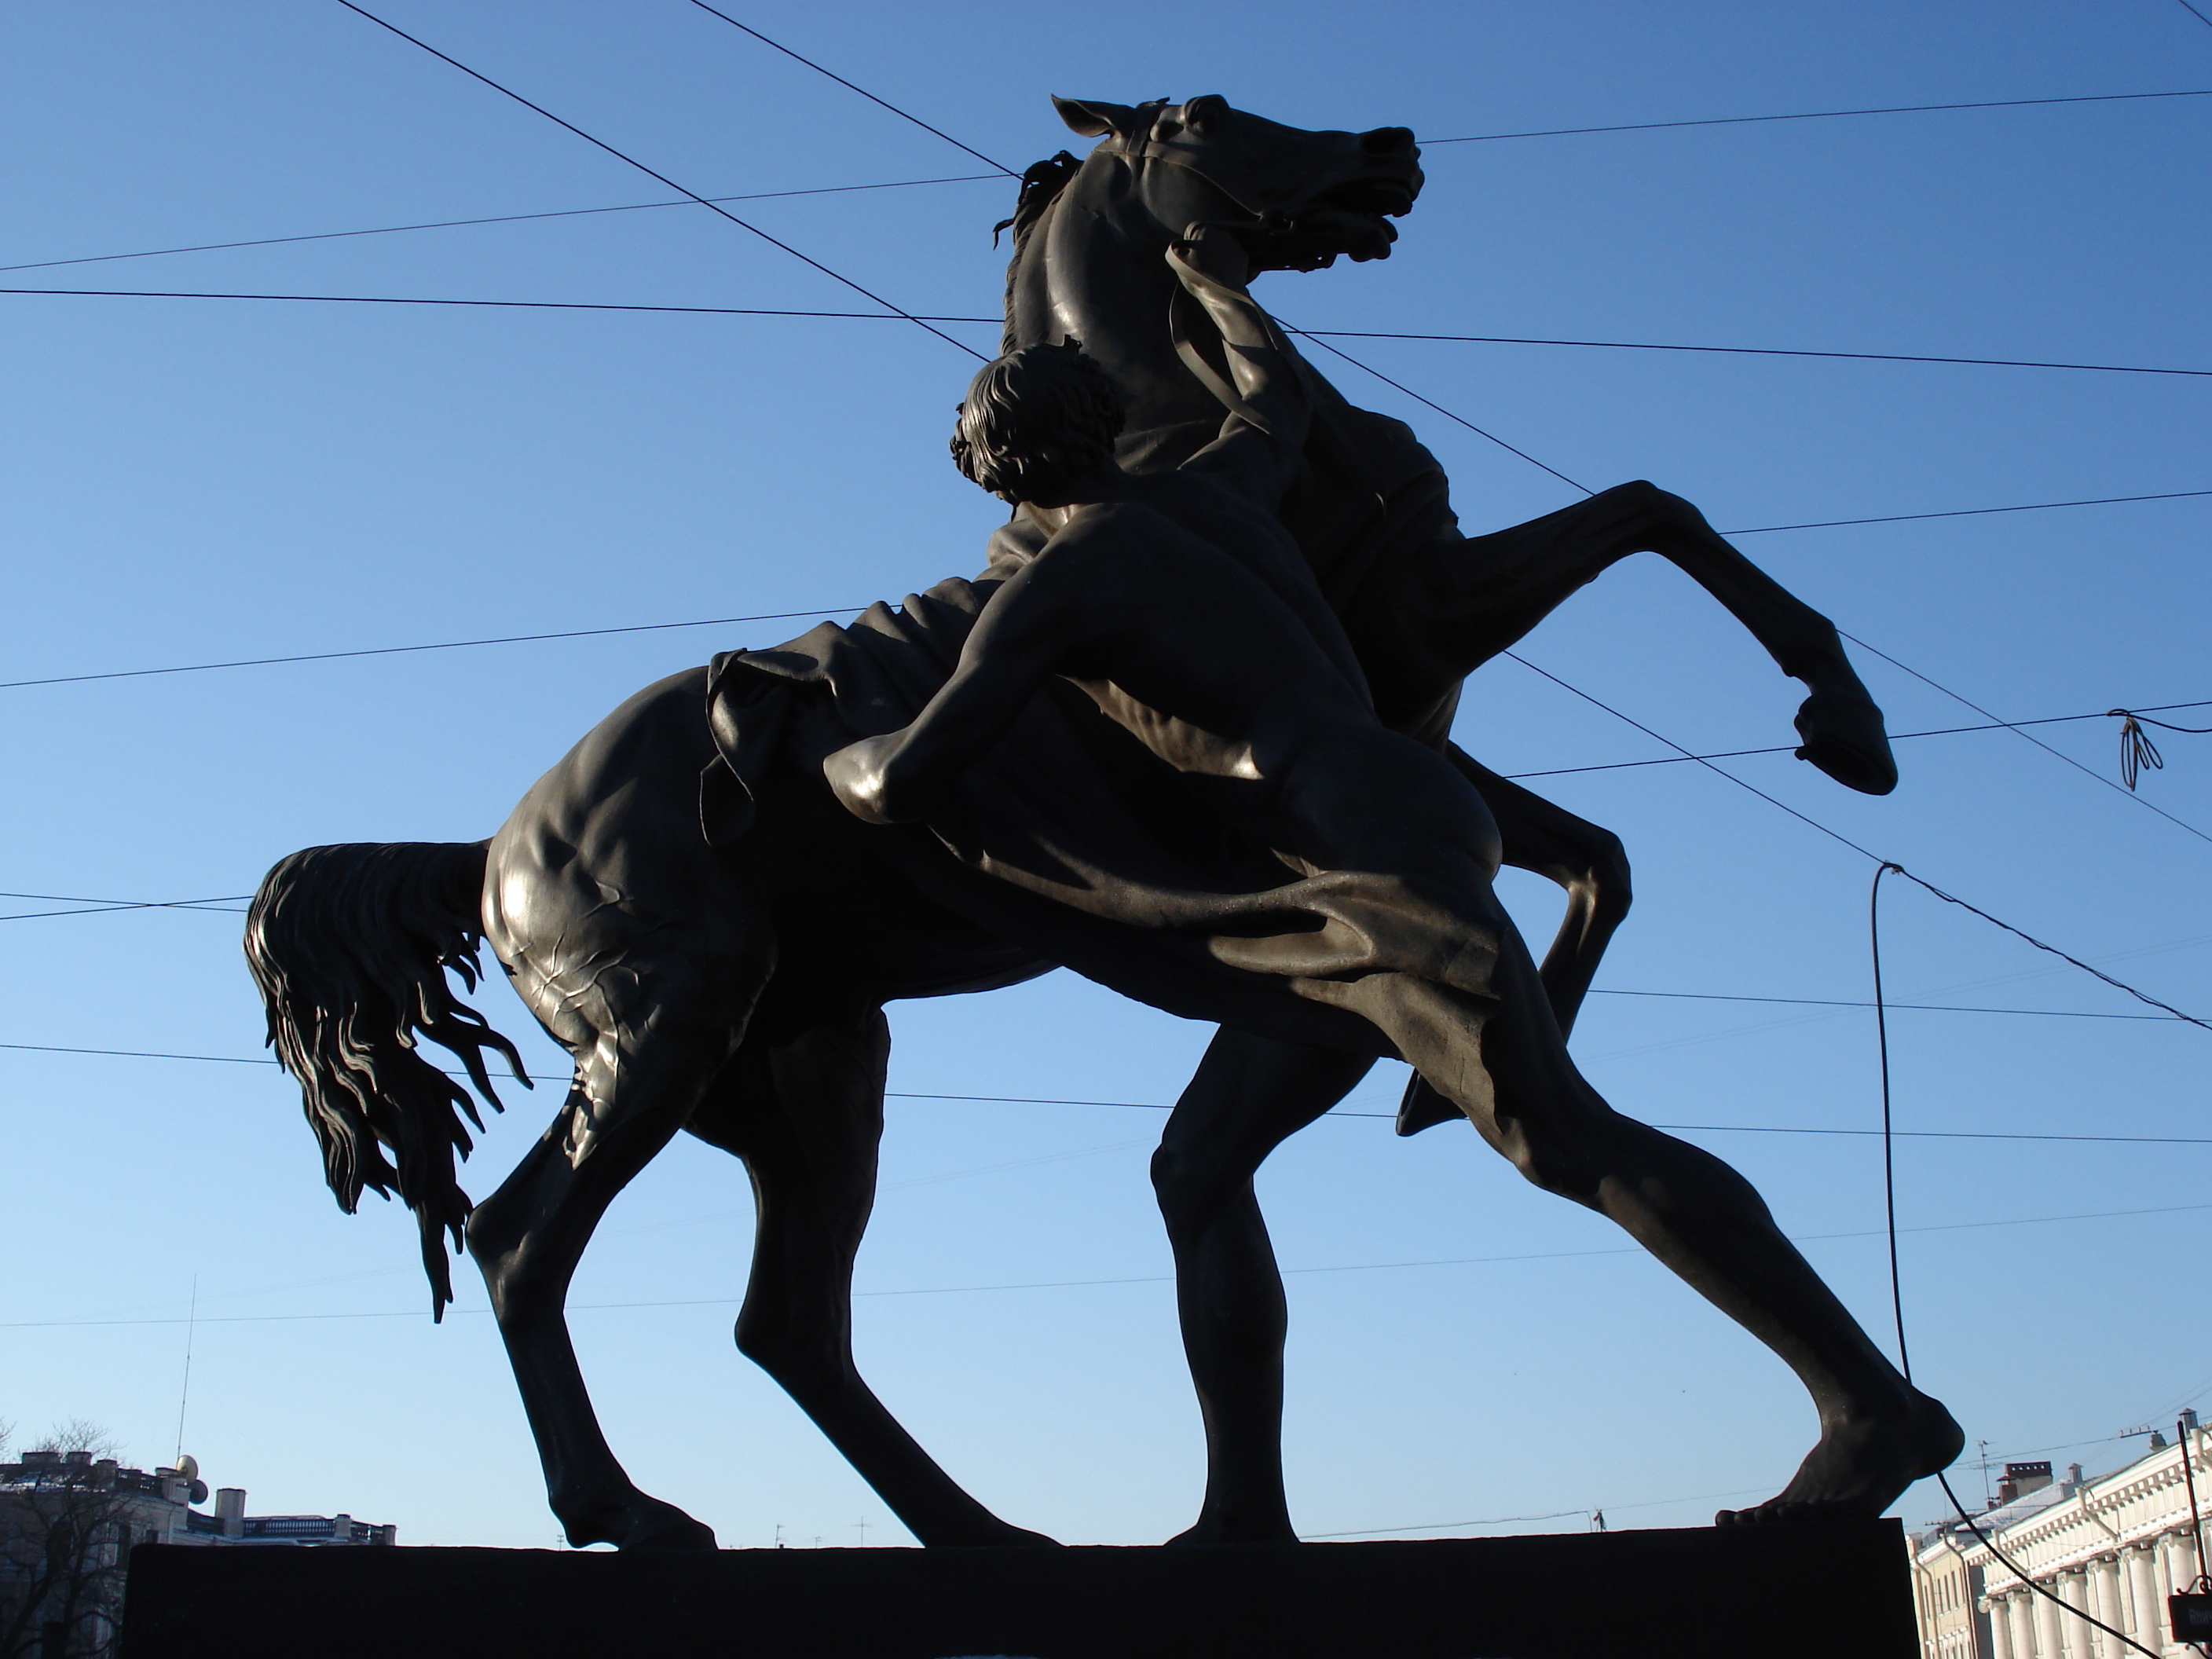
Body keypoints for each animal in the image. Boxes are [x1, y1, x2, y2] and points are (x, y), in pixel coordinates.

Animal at [246, 93, 1955, 1557]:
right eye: (1207, 116)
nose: (1390, 145)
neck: (1159, 435)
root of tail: (494, 851)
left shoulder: (1408, 692)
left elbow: (1607, 784)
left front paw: (1838, 729)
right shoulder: (1410, 644)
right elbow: (1646, 532)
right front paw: (1839, 715)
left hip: (809, 1068)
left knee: (793, 1319)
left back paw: (991, 1533)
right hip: (667, 1029)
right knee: (521, 1244)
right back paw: (639, 1513)